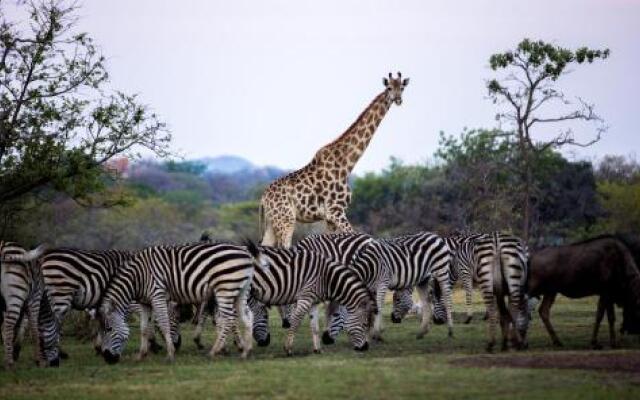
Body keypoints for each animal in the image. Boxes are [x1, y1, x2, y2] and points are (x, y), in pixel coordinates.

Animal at [98, 241, 262, 366]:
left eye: (109, 329)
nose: (107, 358)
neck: (138, 277)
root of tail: (246, 254)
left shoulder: (157, 295)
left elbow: (164, 323)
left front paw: (170, 354)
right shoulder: (145, 303)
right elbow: (143, 328)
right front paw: (141, 355)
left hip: (225, 288)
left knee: (228, 319)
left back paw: (214, 351)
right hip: (241, 290)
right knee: (247, 316)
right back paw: (246, 351)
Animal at [244, 242, 376, 354]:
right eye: (365, 324)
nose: (365, 348)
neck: (326, 278)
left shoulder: (313, 301)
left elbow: (314, 326)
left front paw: (317, 350)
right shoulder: (305, 298)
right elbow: (296, 321)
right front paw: (288, 348)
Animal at [260, 71, 410, 247]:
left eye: (402, 87)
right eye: (389, 88)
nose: (398, 99)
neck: (347, 163)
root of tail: (263, 199)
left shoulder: (330, 217)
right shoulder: (336, 211)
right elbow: (355, 235)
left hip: (272, 223)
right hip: (286, 220)